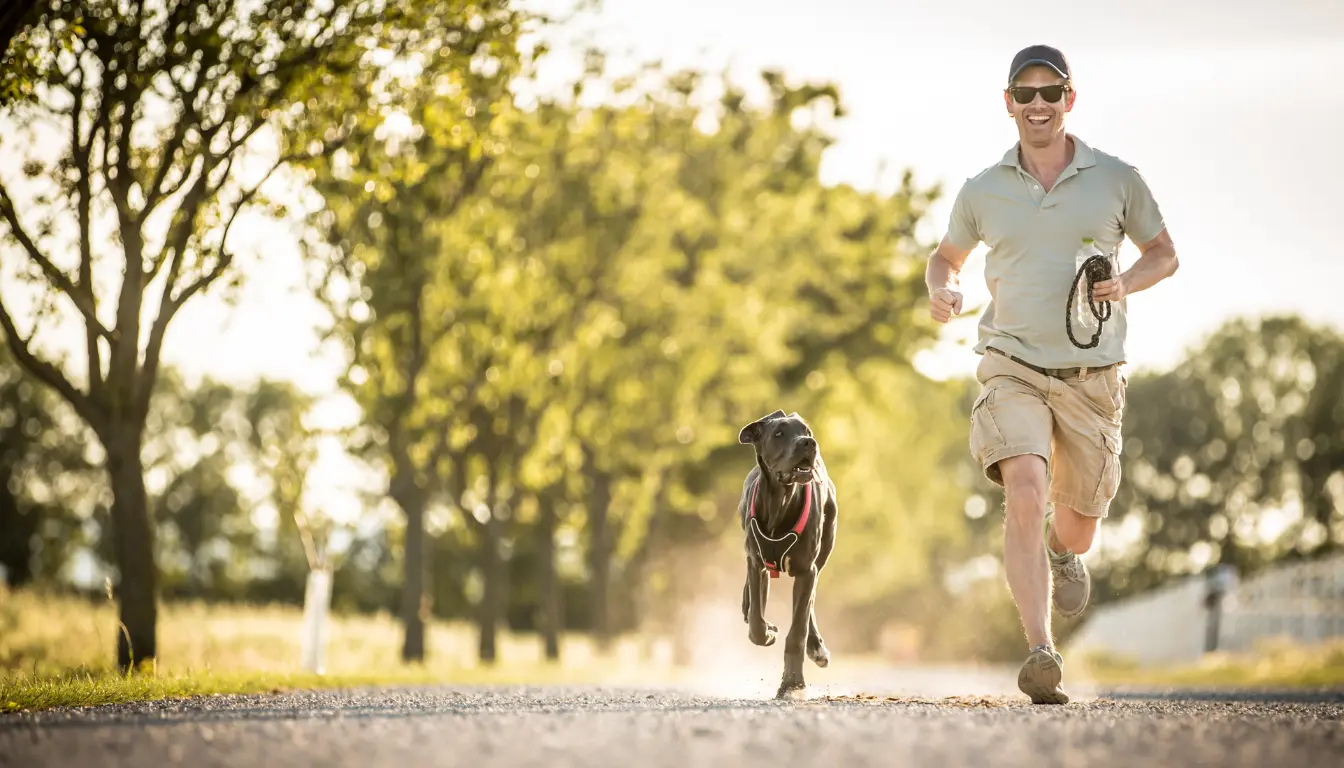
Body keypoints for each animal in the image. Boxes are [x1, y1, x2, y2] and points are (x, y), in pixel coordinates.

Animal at [741, 411, 833, 699]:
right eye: (779, 433)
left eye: (807, 431)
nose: (809, 443)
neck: (780, 500)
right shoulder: (757, 562)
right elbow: (756, 624)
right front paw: (768, 632)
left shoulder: (806, 570)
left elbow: (797, 630)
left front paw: (793, 685)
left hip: (824, 549)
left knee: (810, 605)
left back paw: (817, 648)